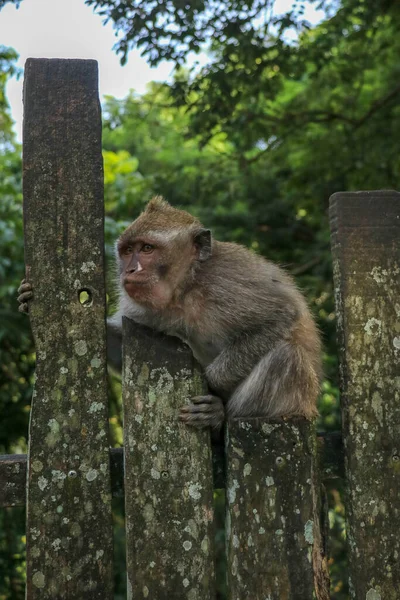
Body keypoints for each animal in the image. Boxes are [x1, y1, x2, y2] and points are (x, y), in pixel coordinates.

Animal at [18, 198, 322, 432]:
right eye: (127, 251)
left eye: (147, 249)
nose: (130, 270)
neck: (185, 289)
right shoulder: (144, 310)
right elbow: (120, 345)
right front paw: (26, 299)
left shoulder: (225, 282)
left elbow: (281, 314)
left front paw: (212, 383)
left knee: (286, 356)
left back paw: (220, 415)